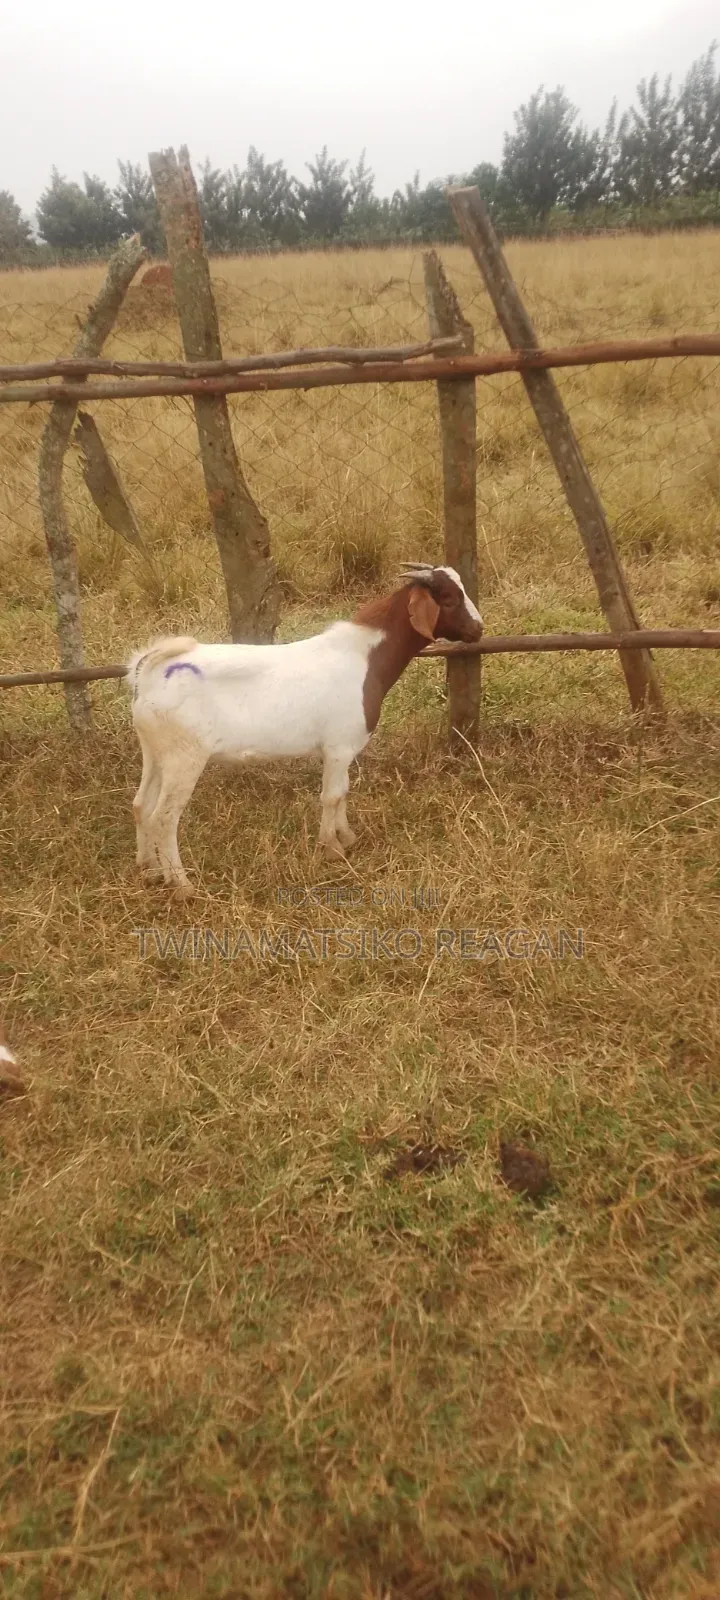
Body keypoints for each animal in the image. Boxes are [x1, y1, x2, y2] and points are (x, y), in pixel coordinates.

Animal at [128, 564, 483, 894]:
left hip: (155, 750)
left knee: (141, 804)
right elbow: (332, 795)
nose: (478, 629)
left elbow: (343, 791)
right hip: (184, 756)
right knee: (164, 817)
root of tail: (151, 673)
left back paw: (149, 869)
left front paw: (347, 836)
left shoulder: (341, 748)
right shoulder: (339, 746)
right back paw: (182, 885)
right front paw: (332, 848)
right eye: (448, 598)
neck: (365, 659)